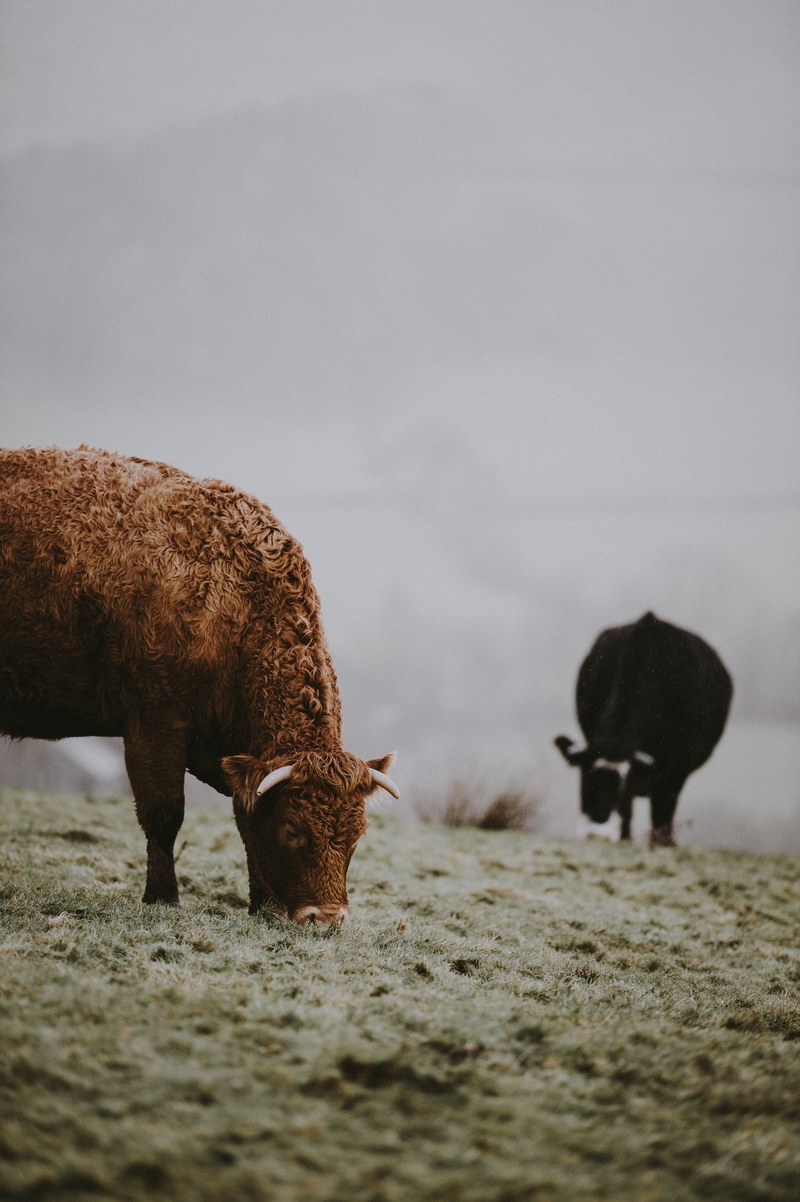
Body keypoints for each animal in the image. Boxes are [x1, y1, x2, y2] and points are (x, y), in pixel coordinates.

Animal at [0, 445, 398, 924]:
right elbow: (164, 814)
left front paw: (264, 905)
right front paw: (163, 896)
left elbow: (245, 818)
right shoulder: (153, 723)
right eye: (292, 829)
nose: (327, 917)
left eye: (357, 834)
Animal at [554, 611, 732, 847]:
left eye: (621, 789)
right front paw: (625, 838)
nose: (598, 835)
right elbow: (629, 813)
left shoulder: (675, 772)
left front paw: (660, 843)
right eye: (585, 781)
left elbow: (662, 812)